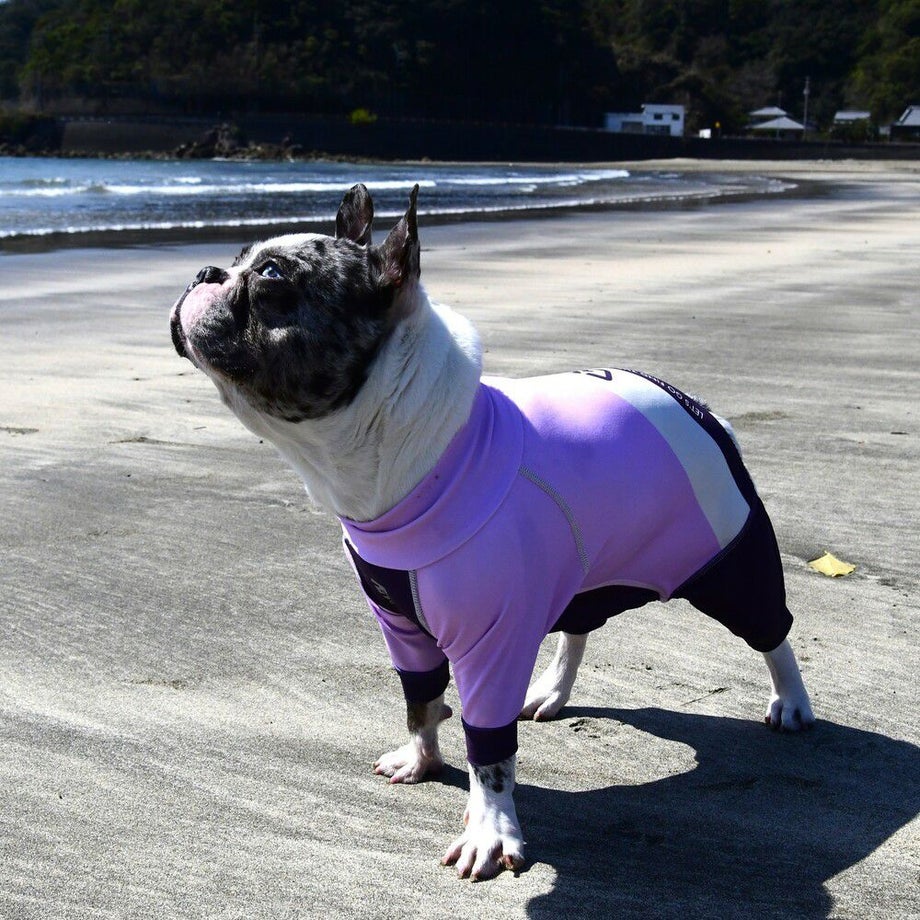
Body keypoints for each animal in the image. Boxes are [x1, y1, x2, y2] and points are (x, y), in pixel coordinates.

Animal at [170, 183, 815, 880]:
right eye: (240, 257)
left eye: (270, 276)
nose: (205, 272)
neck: (417, 448)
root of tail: (697, 405)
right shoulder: (403, 628)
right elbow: (420, 699)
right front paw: (422, 757)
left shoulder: (492, 641)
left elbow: (490, 751)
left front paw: (491, 828)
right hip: (588, 569)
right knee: (579, 627)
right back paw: (553, 692)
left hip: (729, 557)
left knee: (771, 630)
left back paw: (792, 701)